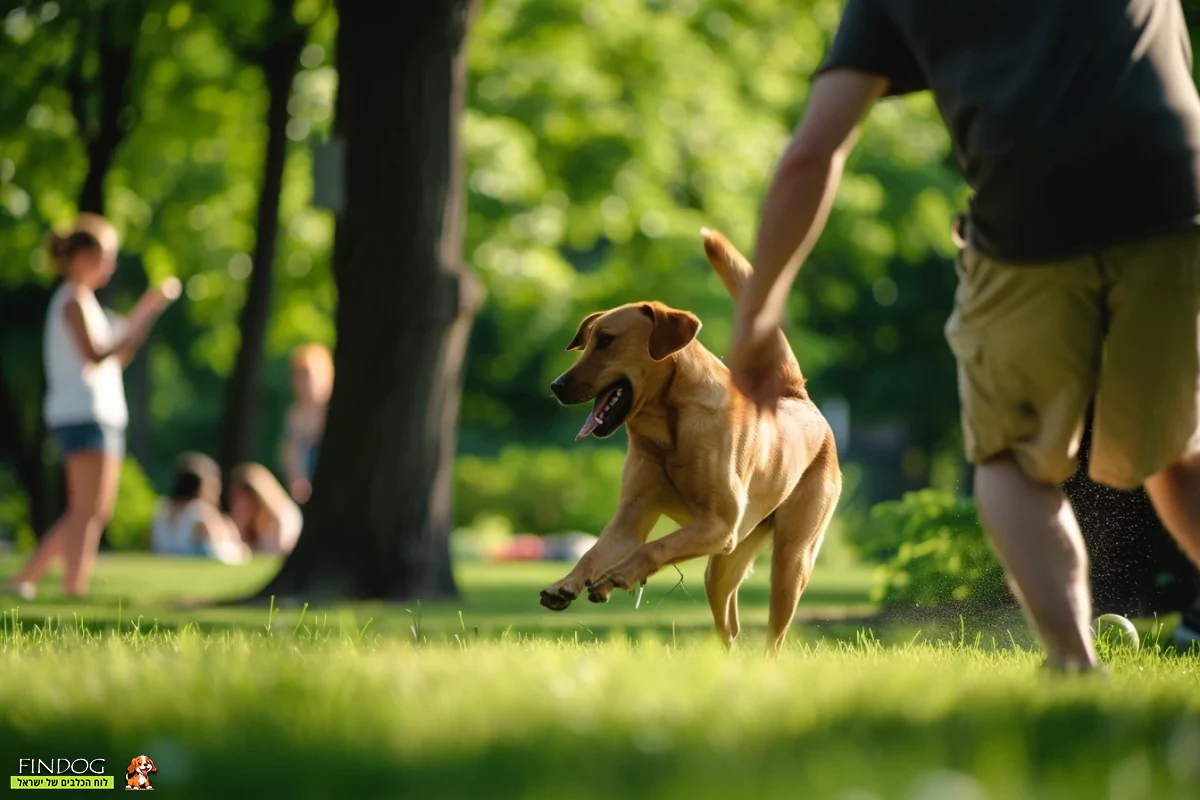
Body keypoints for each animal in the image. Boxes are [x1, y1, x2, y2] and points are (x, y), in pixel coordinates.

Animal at [540, 226, 840, 652]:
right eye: (589, 341)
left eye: (607, 340)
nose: (557, 386)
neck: (667, 430)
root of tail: (798, 396)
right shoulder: (632, 518)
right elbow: (594, 552)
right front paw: (566, 584)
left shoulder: (717, 525)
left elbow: (656, 547)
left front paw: (617, 577)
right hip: (725, 563)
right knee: (729, 626)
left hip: (790, 560)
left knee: (774, 635)